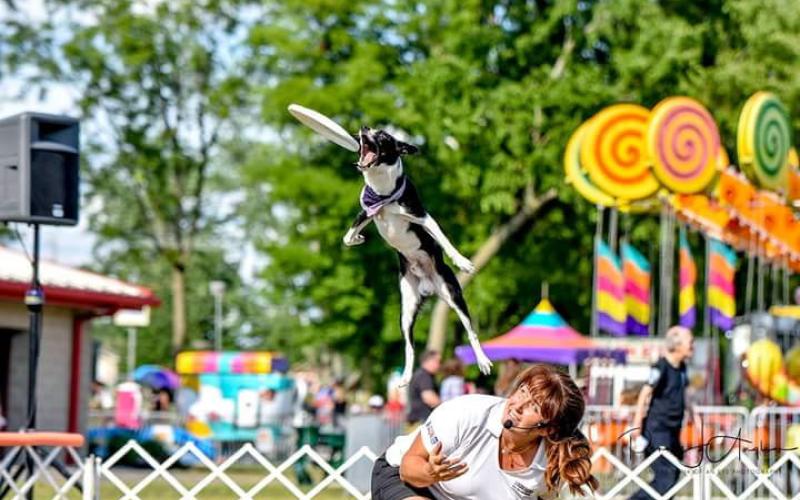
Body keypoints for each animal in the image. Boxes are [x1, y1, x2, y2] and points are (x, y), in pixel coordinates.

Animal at [340, 127, 490, 384]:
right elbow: (347, 237)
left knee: (471, 332)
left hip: (453, 295)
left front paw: (462, 261)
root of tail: (428, 286)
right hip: (406, 312)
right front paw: (358, 238)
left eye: (383, 136)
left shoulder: (422, 216)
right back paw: (406, 376)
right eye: (371, 129)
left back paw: (482, 360)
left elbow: (444, 240)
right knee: (410, 348)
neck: (383, 189)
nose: (364, 128)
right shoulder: (367, 212)